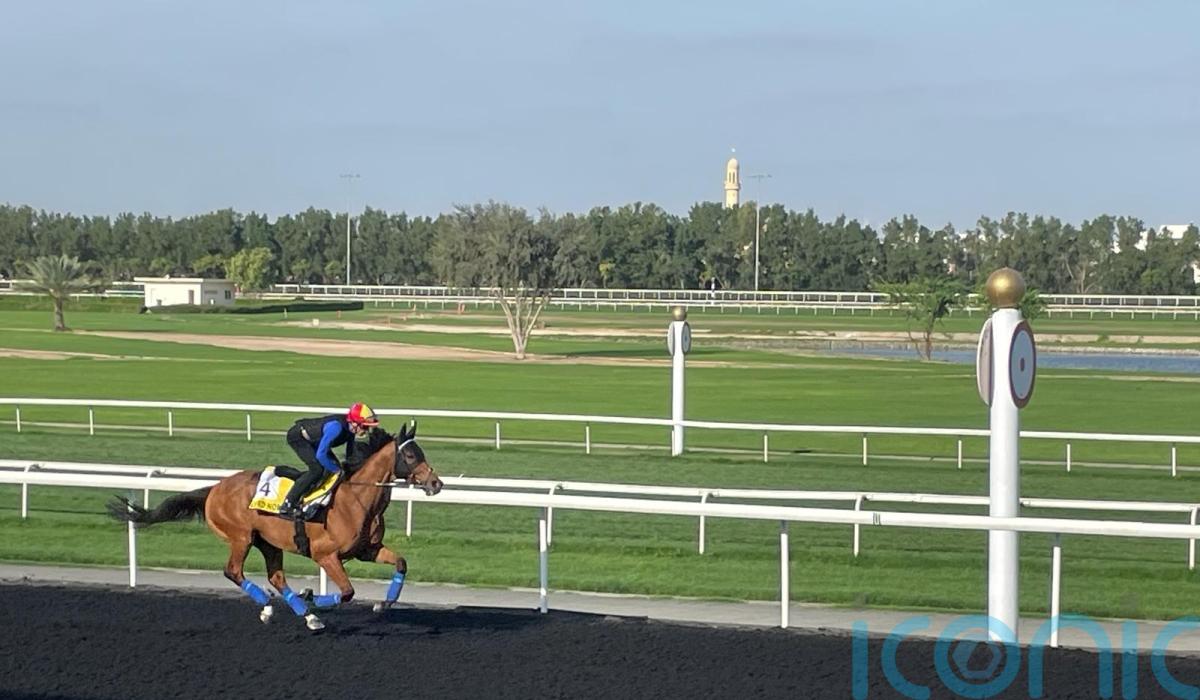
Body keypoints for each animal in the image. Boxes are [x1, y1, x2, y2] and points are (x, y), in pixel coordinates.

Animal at [107, 421, 443, 631]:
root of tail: (215, 488)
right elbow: (347, 592)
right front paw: (314, 597)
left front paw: (384, 604)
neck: (356, 499)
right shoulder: (325, 555)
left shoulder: (367, 550)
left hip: (268, 542)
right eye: (410, 454)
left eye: (421, 452)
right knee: (233, 571)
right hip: (241, 537)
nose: (436, 483)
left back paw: (302, 614)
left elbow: (401, 563)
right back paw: (276, 604)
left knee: (277, 577)